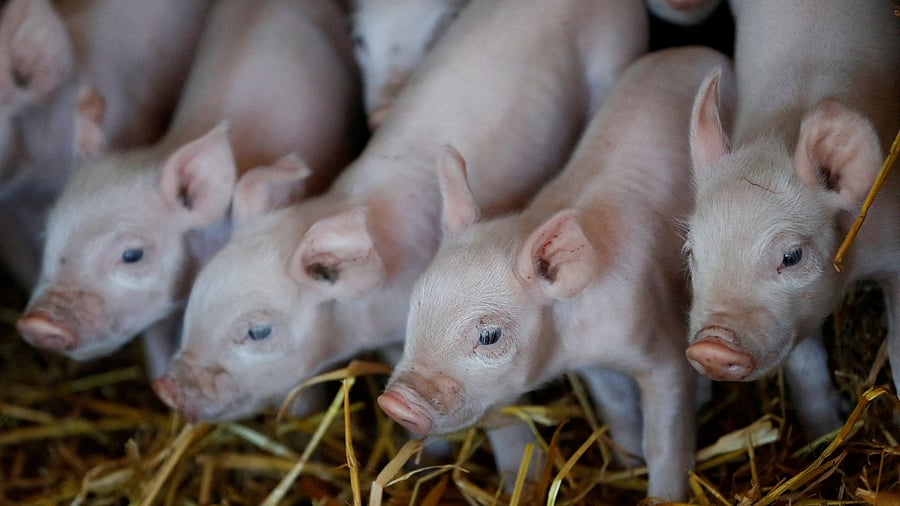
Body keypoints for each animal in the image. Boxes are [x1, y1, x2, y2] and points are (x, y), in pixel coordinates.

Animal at [378, 46, 733, 502]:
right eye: (415, 307)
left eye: (489, 336)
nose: (395, 404)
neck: (575, 339)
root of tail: (695, 49)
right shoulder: (594, 367)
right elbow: (616, 407)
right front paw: (626, 462)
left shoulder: (661, 347)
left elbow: (664, 435)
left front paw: (662, 493)